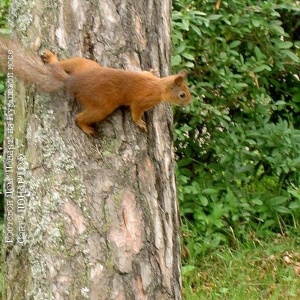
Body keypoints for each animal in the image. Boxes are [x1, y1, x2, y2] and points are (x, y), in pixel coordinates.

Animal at [0, 37, 191, 135]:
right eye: (182, 94)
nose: (189, 103)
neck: (160, 86)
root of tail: (73, 81)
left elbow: (146, 72)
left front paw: (152, 69)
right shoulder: (144, 99)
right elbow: (135, 110)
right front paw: (140, 124)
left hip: (84, 64)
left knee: (63, 64)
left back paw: (52, 58)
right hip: (102, 106)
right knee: (79, 117)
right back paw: (86, 128)